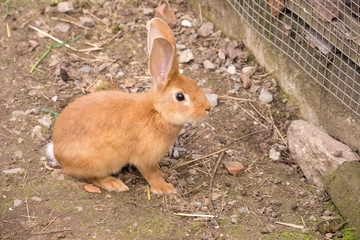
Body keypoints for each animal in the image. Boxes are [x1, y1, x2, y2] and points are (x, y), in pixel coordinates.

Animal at [46, 18, 212, 195]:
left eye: (194, 83)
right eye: (180, 96)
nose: (208, 108)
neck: (157, 112)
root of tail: (57, 153)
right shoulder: (145, 158)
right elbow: (150, 174)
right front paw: (164, 187)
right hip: (99, 162)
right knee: (93, 177)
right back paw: (115, 184)